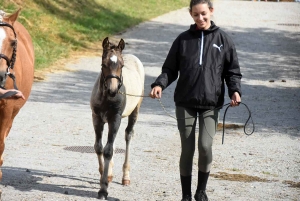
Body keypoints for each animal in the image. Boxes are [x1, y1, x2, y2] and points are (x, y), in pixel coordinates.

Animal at [90, 37, 144, 199]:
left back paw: (125, 176)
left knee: (128, 135)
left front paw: (103, 189)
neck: (106, 98)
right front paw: (104, 175)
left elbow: (108, 150)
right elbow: (99, 147)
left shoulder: (115, 119)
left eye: (122, 65)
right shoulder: (97, 118)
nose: (113, 90)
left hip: (134, 111)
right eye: (103, 64)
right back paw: (110, 174)